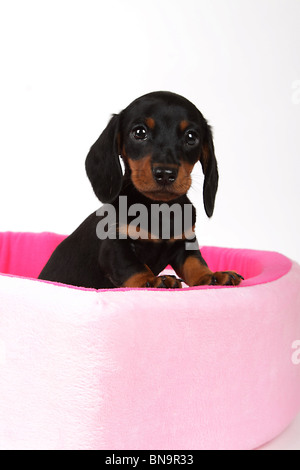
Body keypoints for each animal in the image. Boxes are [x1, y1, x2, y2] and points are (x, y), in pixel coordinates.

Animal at [38, 91, 244, 290]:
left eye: (191, 137)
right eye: (139, 132)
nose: (165, 173)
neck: (158, 209)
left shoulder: (185, 241)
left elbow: (195, 262)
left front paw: (212, 276)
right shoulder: (115, 244)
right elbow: (133, 266)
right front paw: (153, 280)